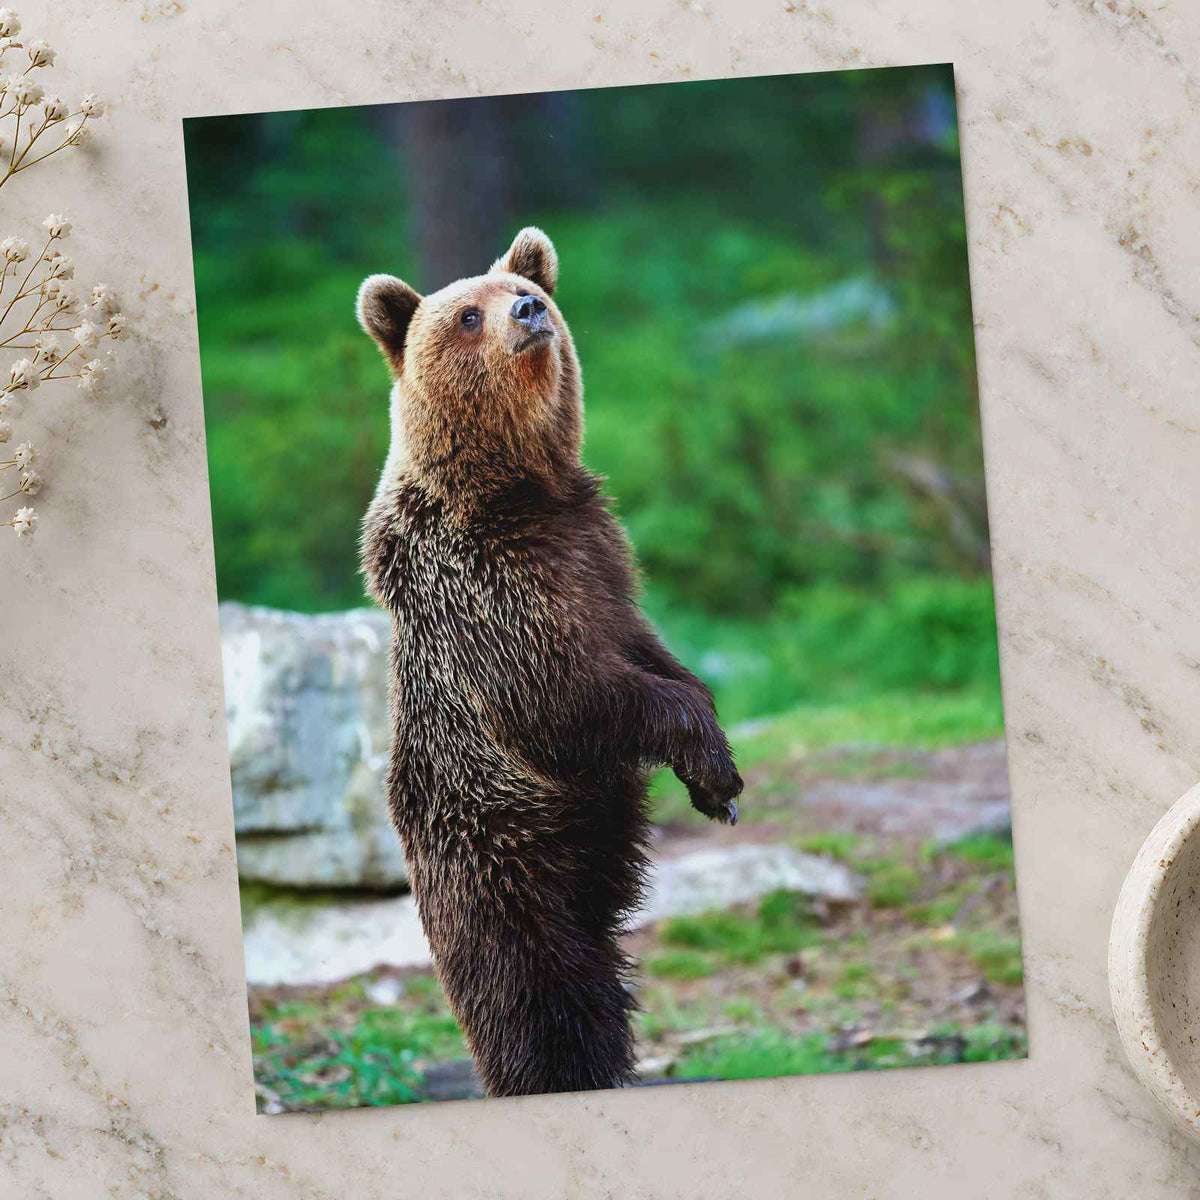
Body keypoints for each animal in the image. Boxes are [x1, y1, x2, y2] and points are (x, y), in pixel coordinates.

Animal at [356, 227, 744, 1098]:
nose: (530, 311)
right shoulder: (489, 593)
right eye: (468, 312)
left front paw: (716, 774)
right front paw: (710, 761)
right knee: (537, 991)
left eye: (523, 289)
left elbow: (649, 649)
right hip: (500, 853)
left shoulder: (597, 554)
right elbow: (562, 696)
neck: (519, 489)